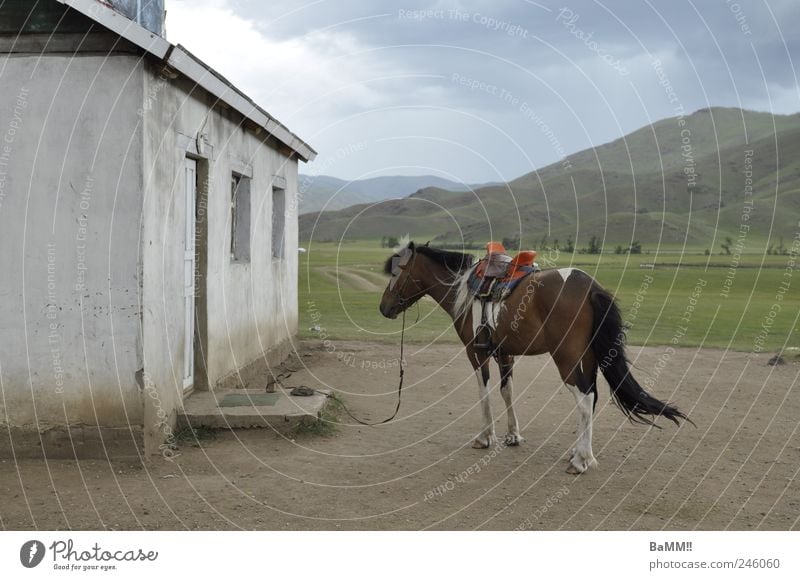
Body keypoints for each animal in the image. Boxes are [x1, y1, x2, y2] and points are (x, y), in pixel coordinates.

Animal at [378, 240, 692, 472]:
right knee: (591, 397)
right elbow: (507, 391)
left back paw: (581, 461)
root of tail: (590, 286)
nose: (384, 308)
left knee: (584, 398)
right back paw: (579, 452)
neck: (464, 288)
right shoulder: (504, 353)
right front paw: (513, 435)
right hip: (587, 359)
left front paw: (485, 437)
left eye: (395, 273)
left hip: (566, 359)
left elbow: (484, 392)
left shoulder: (475, 353)